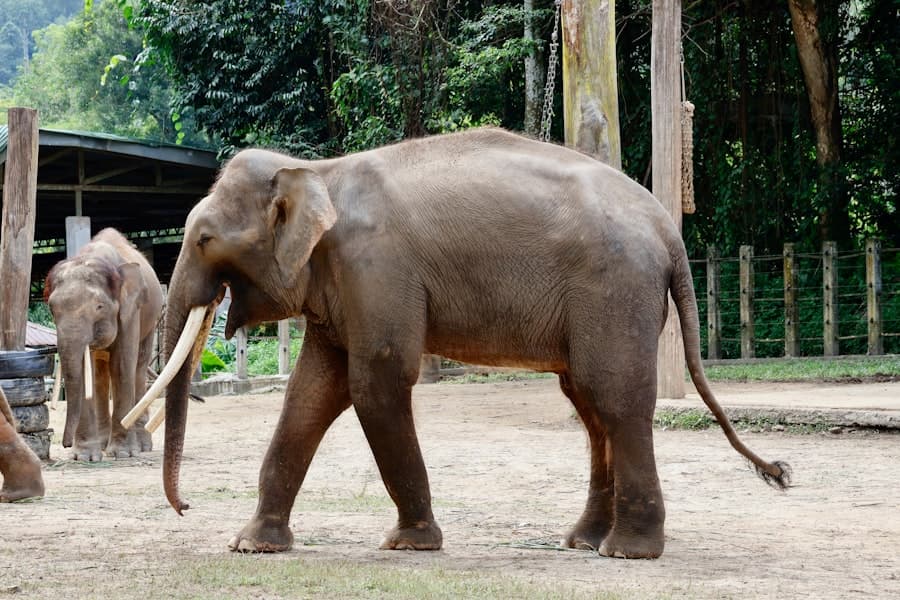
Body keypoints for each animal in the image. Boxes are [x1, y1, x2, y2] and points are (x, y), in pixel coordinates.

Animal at [45, 228, 164, 461]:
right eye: (52, 309)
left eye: (99, 306)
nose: (64, 444)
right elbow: (87, 371)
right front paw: (84, 457)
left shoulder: (131, 310)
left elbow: (121, 366)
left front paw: (123, 454)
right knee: (100, 375)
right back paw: (101, 444)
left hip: (151, 321)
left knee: (137, 368)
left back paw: (142, 446)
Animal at [150, 127, 790, 559]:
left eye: (204, 239)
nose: (185, 508)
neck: (316, 171)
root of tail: (666, 229)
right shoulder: (344, 284)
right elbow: (311, 392)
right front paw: (251, 545)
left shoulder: (376, 268)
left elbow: (376, 381)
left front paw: (408, 543)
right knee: (587, 402)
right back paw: (582, 541)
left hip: (615, 289)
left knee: (614, 397)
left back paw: (625, 552)